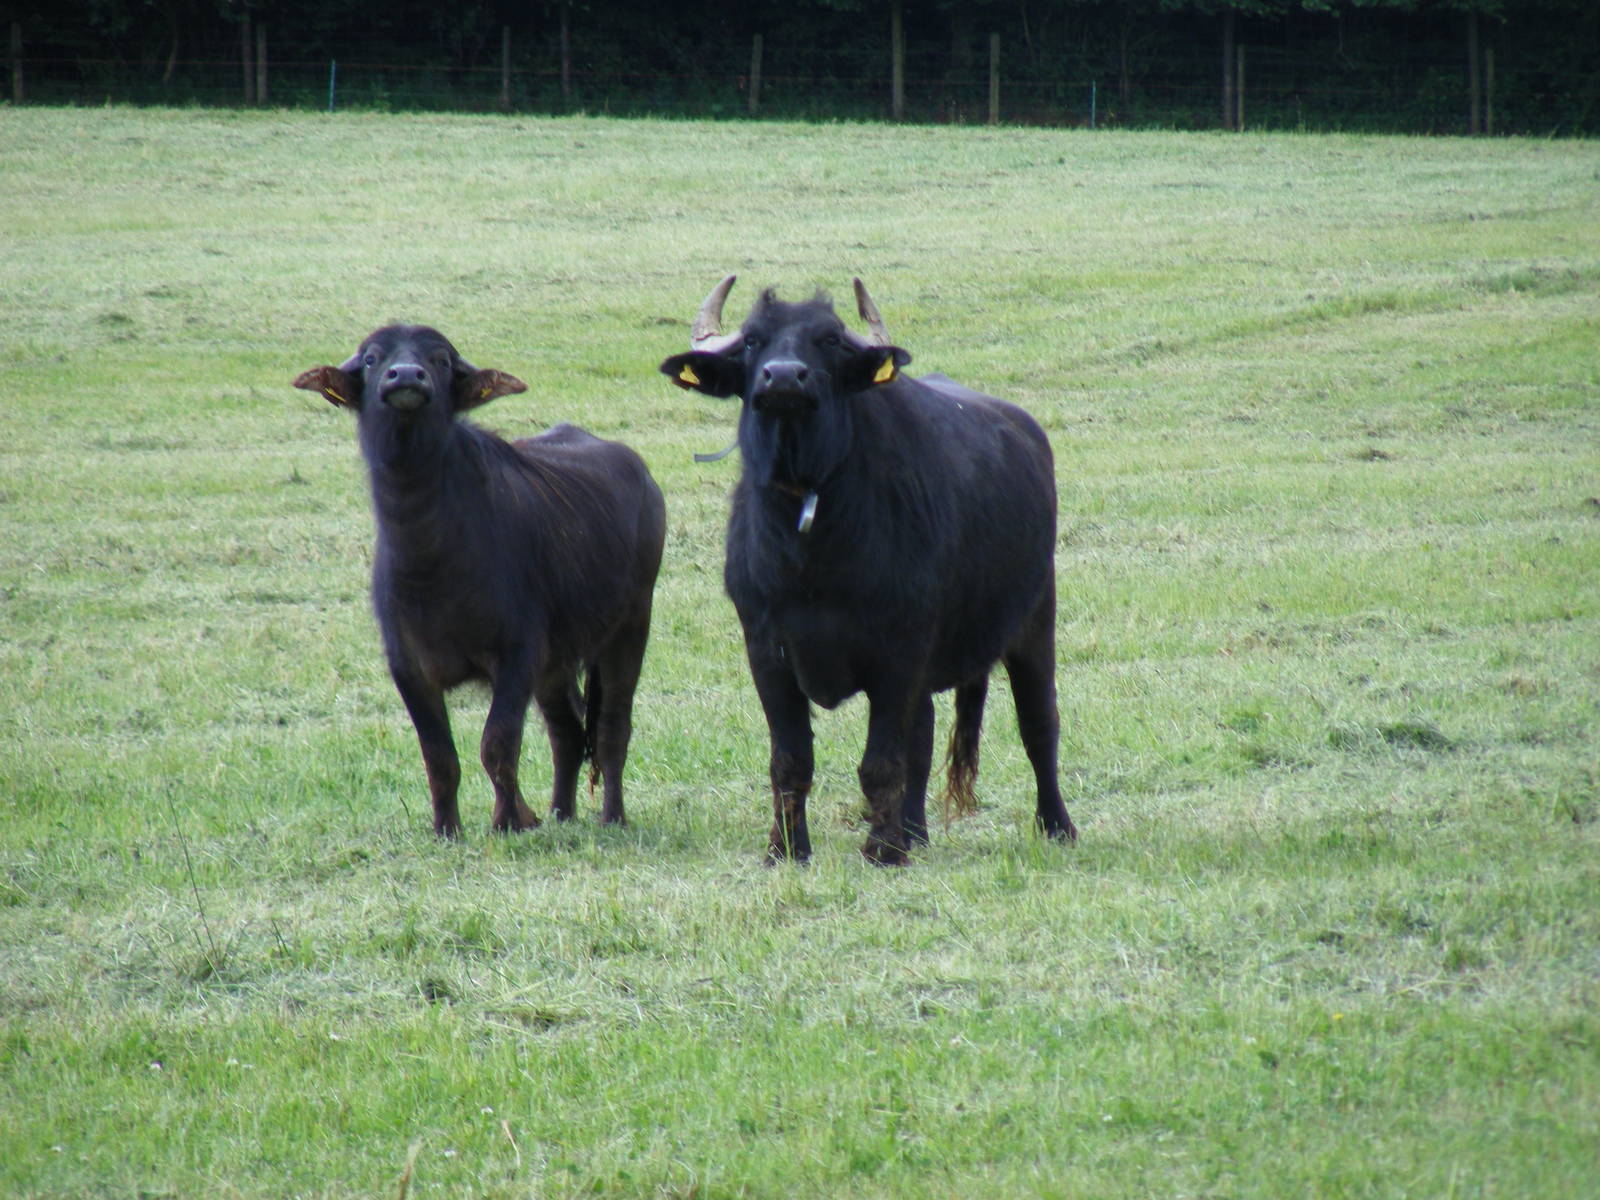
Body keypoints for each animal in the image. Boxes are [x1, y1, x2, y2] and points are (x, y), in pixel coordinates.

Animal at [295, 324, 666, 836]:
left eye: (439, 360)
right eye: (372, 359)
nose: (405, 376)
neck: (431, 561)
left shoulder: (516, 656)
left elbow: (498, 743)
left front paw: (509, 821)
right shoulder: (408, 667)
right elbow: (439, 757)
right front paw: (447, 829)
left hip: (630, 626)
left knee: (611, 728)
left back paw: (612, 816)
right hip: (556, 663)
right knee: (567, 732)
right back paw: (560, 813)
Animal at [661, 278, 1076, 865]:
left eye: (829, 341)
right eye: (753, 342)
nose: (783, 377)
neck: (811, 551)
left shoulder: (898, 651)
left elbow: (881, 761)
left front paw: (882, 850)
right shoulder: (766, 651)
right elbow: (791, 760)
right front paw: (786, 848)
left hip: (1035, 620)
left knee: (1039, 724)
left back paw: (1056, 825)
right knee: (924, 734)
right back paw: (916, 833)